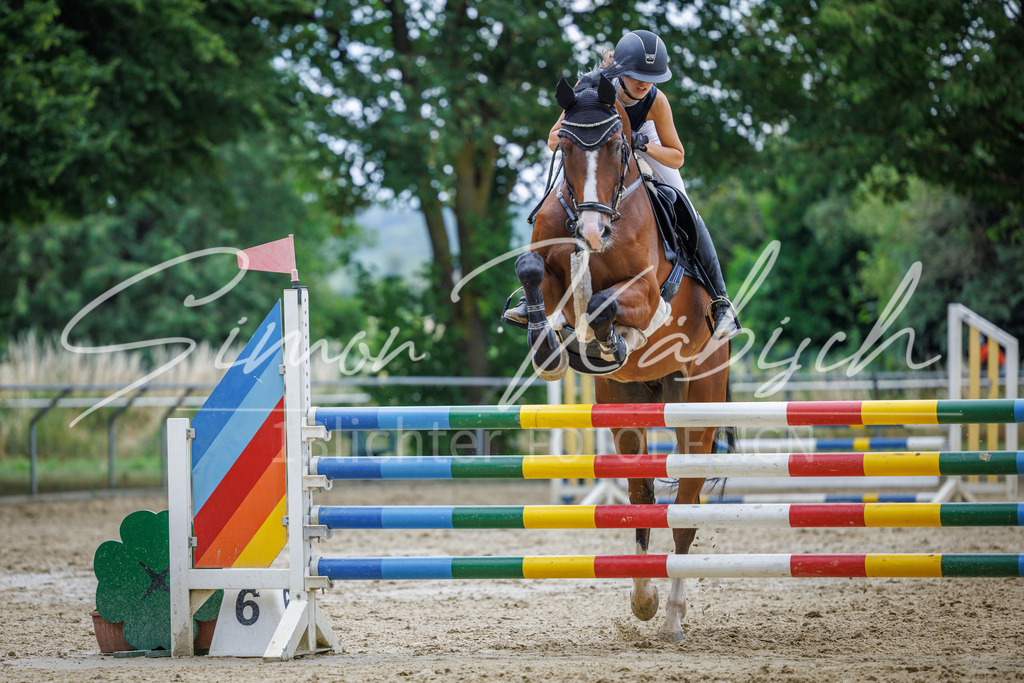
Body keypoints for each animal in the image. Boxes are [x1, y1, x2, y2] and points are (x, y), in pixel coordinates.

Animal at [513, 70, 731, 640]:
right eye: (566, 146)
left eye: (617, 147)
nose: (593, 233)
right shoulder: (549, 267)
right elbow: (531, 270)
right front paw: (548, 346)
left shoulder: (648, 293)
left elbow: (605, 304)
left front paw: (612, 338)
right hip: (626, 404)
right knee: (640, 498)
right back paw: (643, 599)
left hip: (698, 403)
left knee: (685, 509)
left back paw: (671, 615)